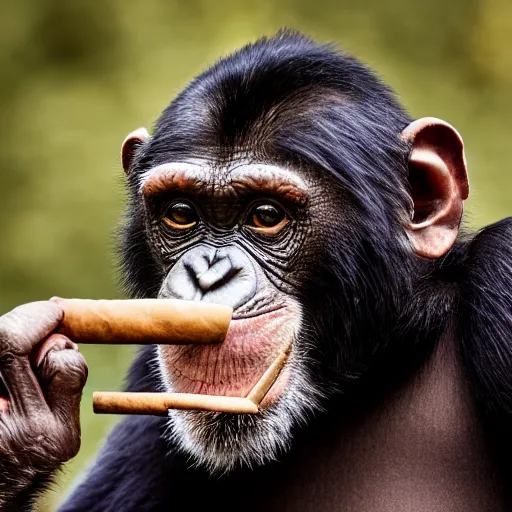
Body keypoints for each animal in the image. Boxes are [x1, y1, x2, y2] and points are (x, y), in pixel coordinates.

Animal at [1, 30, 512, 510]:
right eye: (181, 213)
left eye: (266, 216)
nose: (208, 275)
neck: (377, 367)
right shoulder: (148, 372)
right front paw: (23, 412)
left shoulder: (502, 269)